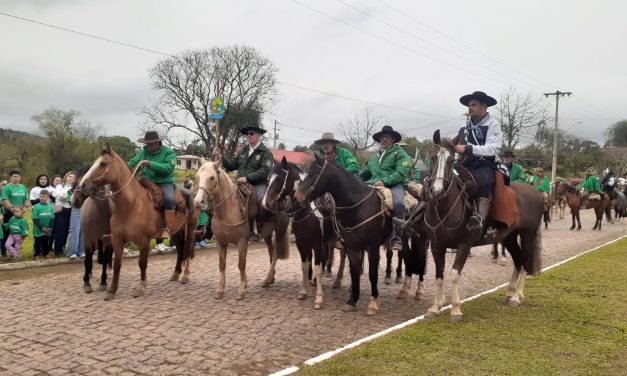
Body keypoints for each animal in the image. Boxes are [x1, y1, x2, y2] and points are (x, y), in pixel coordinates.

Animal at [78, 146, 197, 300]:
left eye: (103, 164)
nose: (82, 185)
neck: (131, 205)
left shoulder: (144, 241)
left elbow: (142, 264)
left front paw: (141, 287)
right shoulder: (117, 240)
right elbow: (117, 264)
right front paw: (111, 290)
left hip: (190, 230)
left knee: (187, 249)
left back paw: (186, 276)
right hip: (177, 231)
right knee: (180, 250)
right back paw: (175, 274)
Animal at [193, 159, 290, 300]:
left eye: (212, 177)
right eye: (198, 176)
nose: (197, 201)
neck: (228, 209)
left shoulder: (242, 242)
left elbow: (241, 264)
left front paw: (242, 290)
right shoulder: (221, 242)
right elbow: (222, 264)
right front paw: (220, 290)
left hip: (280, 230)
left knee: (276, 253)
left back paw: (267, 279)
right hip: (267, 234)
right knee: (271, 252)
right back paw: (270, 279)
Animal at [262, 157, 338, 310]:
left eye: (279, 179)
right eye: (269, 178)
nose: (266, 203)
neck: (306, 212)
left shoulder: (317, 244)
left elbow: (317, 268)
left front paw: (319, 298)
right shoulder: (302, 244)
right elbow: (304, 266)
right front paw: (303, 291)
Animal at [294, 153, 392, 314]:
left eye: (313, 173)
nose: (297, 197)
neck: (358, 207)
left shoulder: (373, 247)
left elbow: (373, 274)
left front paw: (373, 303)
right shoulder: (352, 246)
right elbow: (354, 272)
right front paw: (352, 300)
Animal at [412, 130, 544, 324]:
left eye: (451, 160)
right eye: (433, 157)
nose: (436, 191)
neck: (445, 209)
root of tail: (536, 193)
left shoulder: (464, 245)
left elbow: (454, 274)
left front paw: (455, 310)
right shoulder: (436, 245)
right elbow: (439, 274)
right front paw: (435, 307)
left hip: (527, 234)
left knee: (525, 262)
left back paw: (516, 296)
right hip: (509, 237)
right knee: (518, 261)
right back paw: (509, 293)